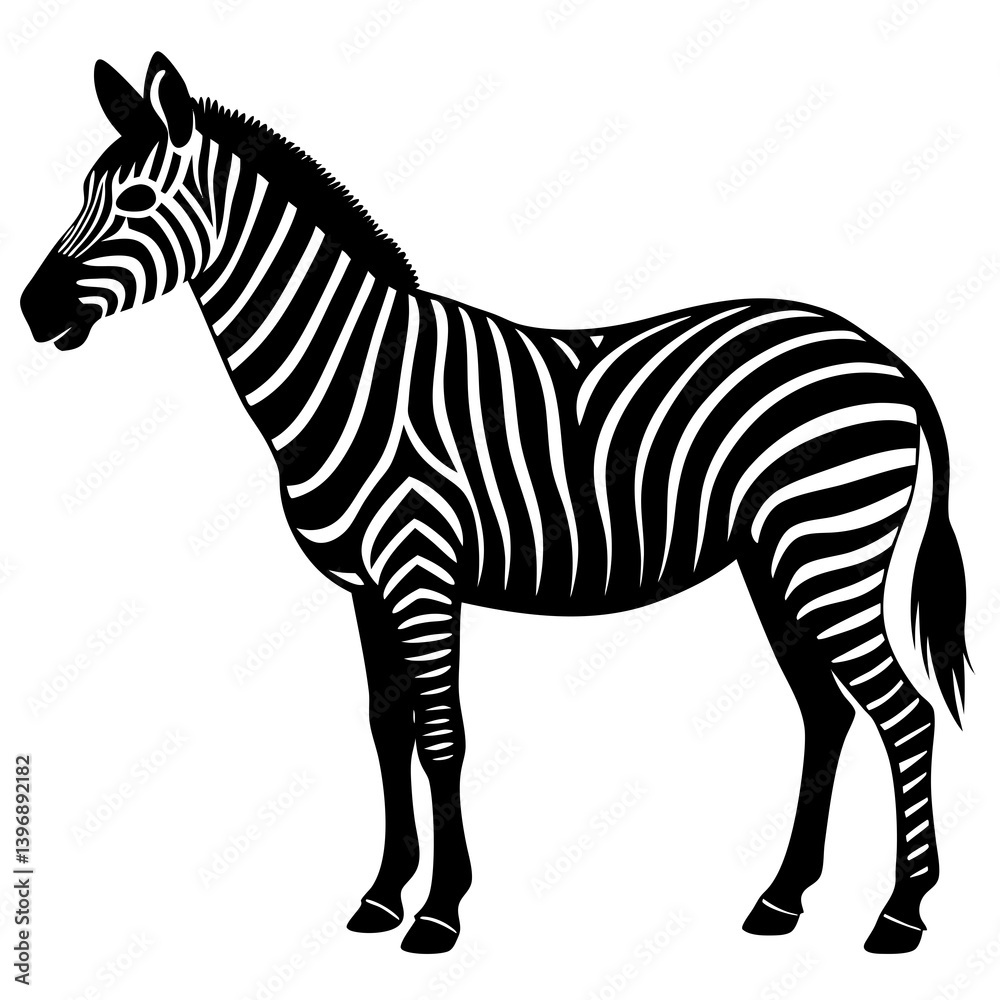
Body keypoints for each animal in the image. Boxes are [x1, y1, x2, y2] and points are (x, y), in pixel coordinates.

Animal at [21, 53, 971, 956]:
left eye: (135, 200)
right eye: (83, 193)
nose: (31, 310)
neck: (353, 374)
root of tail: (883, 354)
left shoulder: (419, 572)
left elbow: (443, 734)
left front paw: (439, 912)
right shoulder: (367, 589)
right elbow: (388, 729)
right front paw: (382, 895)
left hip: (830, 550)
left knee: (904, 712)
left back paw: (901, 914)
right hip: (777, 562)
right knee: (828, 711)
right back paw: (782, 901)